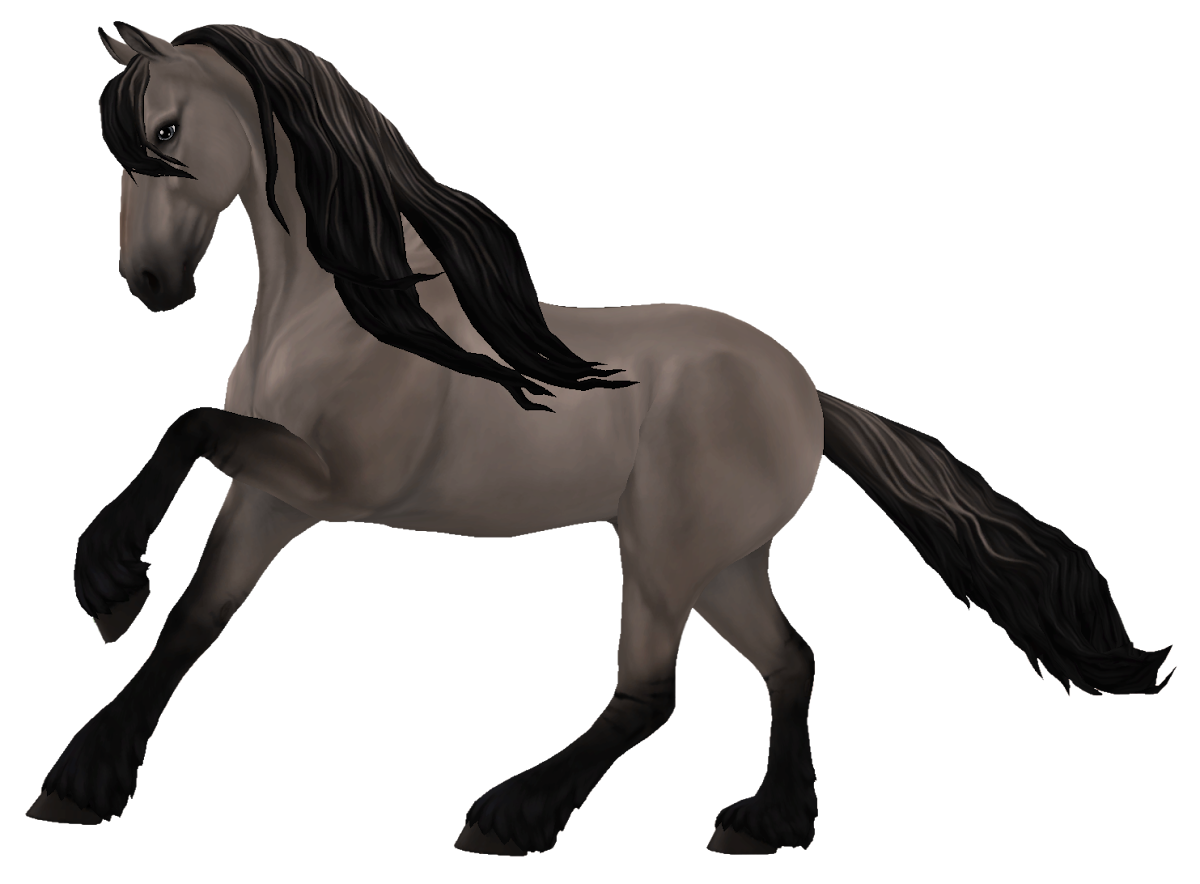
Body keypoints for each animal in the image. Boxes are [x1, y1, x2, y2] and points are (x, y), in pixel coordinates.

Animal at [25, 22, 1174, 850]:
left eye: (164, 136)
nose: (152, 285)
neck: (341, 312)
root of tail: (805, 388)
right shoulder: (269, 497)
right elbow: (194, 621)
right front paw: (82, 775)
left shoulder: (329, 480)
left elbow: (188, 422)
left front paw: (107, 581)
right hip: (725, 563)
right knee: (790, 660)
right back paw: (765, 825)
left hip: (662, 553)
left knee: (650, 693)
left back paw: (511, 814)